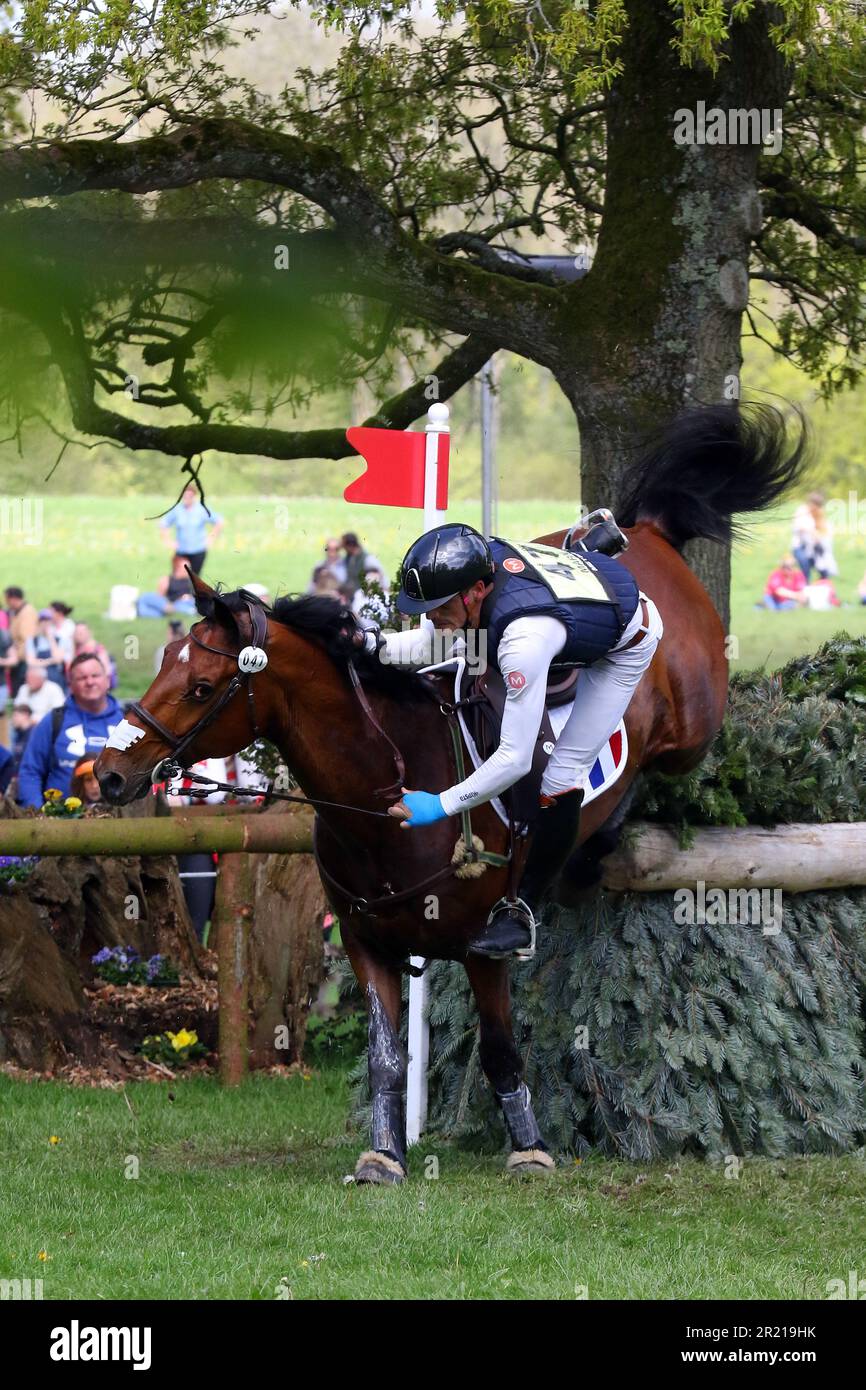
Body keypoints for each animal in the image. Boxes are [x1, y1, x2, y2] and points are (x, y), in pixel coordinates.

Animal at [96, 403, 806, 1184]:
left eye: (199, 686)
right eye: (164, 657)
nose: (108, 772)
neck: (379, 794)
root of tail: (647, 536)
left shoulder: (481, 951)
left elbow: (498, 1049)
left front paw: (528, 1147)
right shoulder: (367, 942)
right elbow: (386, 1056)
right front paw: (384, 1154)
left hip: (677, 702)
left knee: (625, 769)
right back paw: (594, 536)